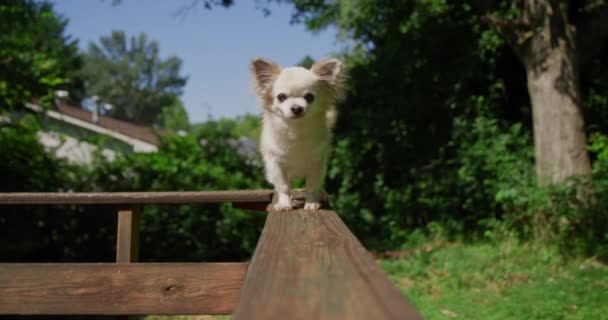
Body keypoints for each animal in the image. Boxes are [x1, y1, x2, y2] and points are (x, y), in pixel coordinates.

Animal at [249, 57, 344, 211]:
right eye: (281, 97)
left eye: (309, 97)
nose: (296, 108)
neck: (295, 129)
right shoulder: (276, 164)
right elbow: (283, 186)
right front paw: (284, 204)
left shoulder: (316, 163)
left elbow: (312, 186)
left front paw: (311, 203)